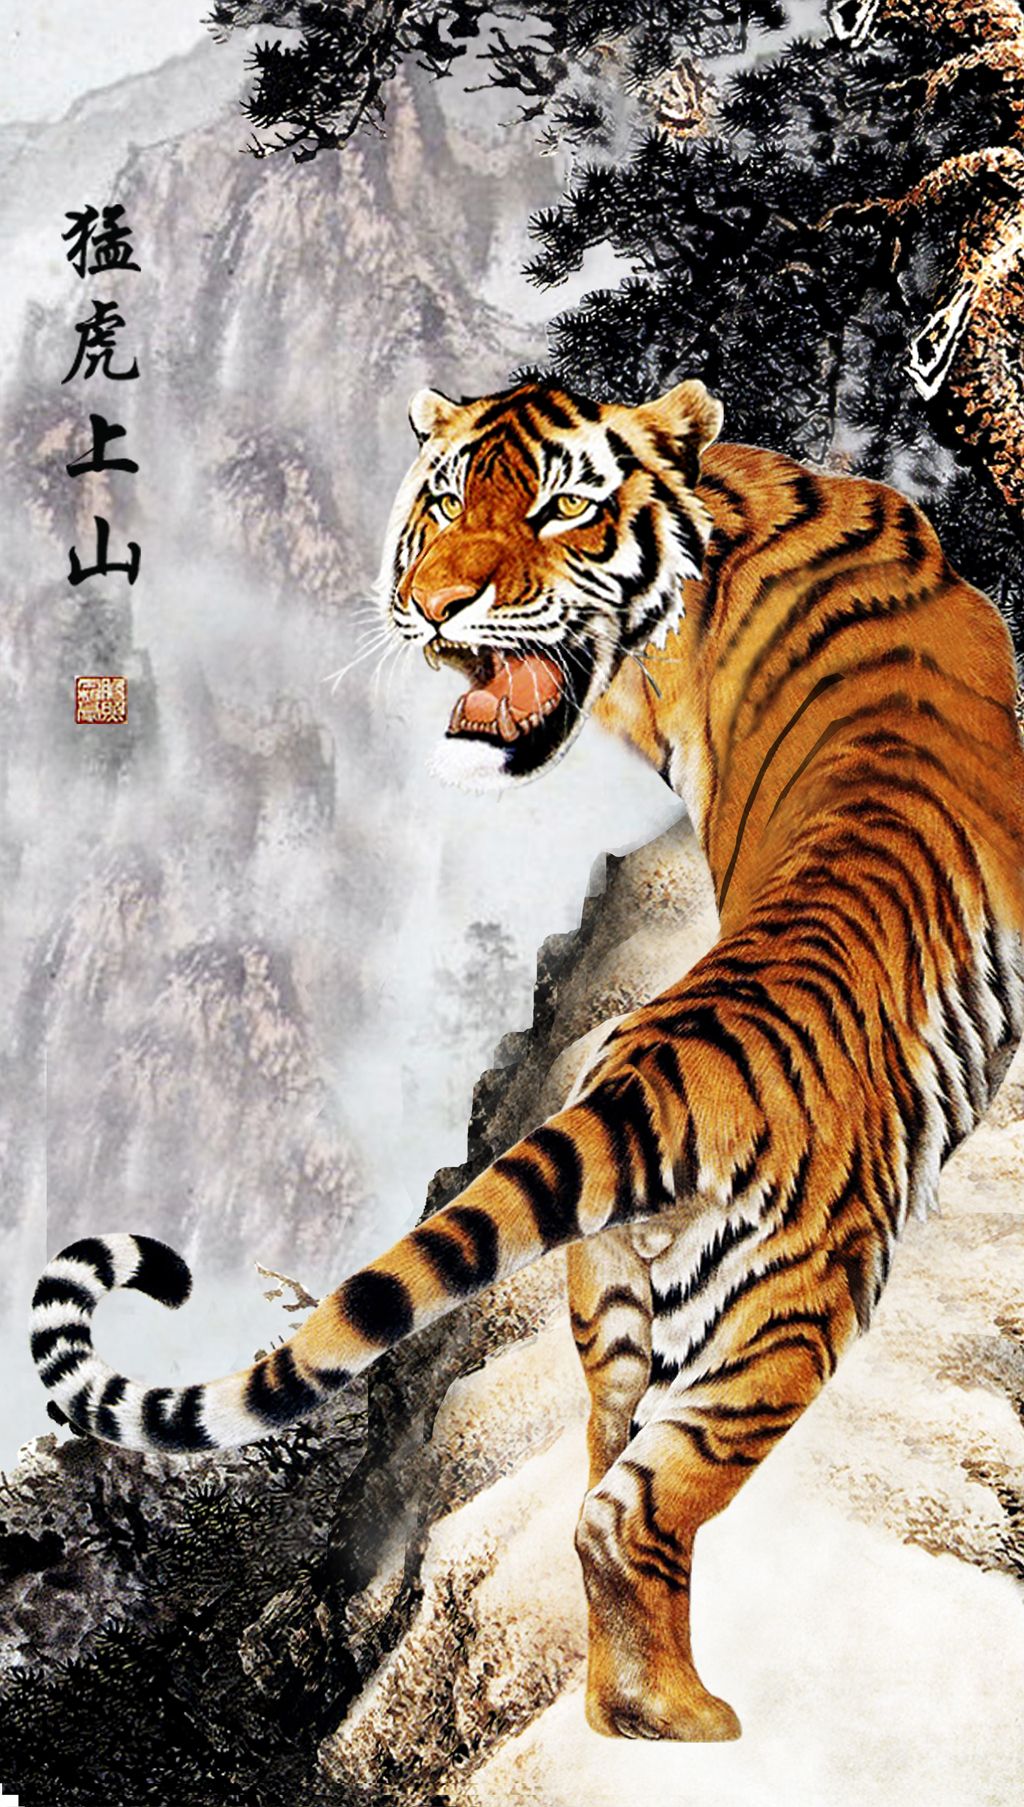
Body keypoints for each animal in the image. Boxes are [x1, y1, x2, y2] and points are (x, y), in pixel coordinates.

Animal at [31, 379, 1024, 1743]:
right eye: (446, 502)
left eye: (559, 509)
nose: (435, 603)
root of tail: (646, 1080)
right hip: (788, 1318)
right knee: (629, 1513)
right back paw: (683, 1722)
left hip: (615, 1315)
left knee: (600, 1476)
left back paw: (619, 1710)